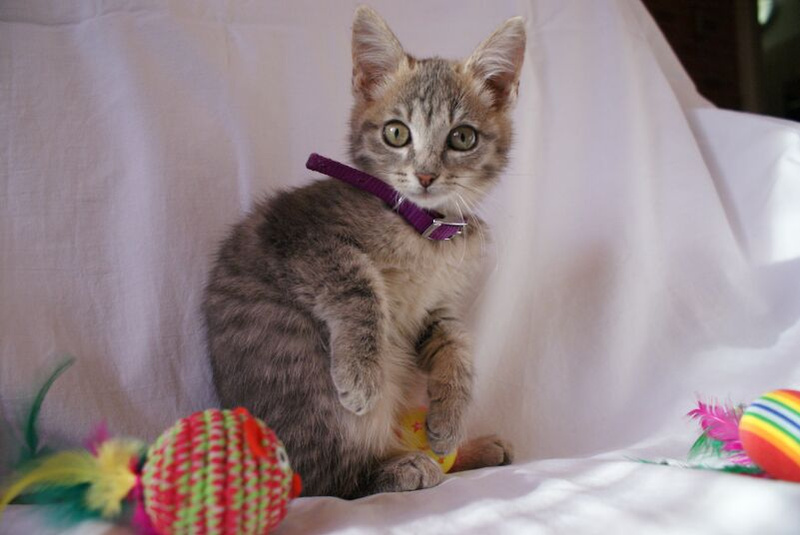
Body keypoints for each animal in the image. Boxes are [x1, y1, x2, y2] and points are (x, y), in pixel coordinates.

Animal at [203, 6, 525, 498]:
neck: (423, 231)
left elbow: (456, 339)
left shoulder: (432, 305)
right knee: (328, 480)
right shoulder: (301, 236)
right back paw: (398, 466)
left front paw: (450, 415)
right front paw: (361, 375)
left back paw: (473, 448)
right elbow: (358, 286)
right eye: (396, 132)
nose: (426, 175)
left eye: (462, 138)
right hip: (309, 377)